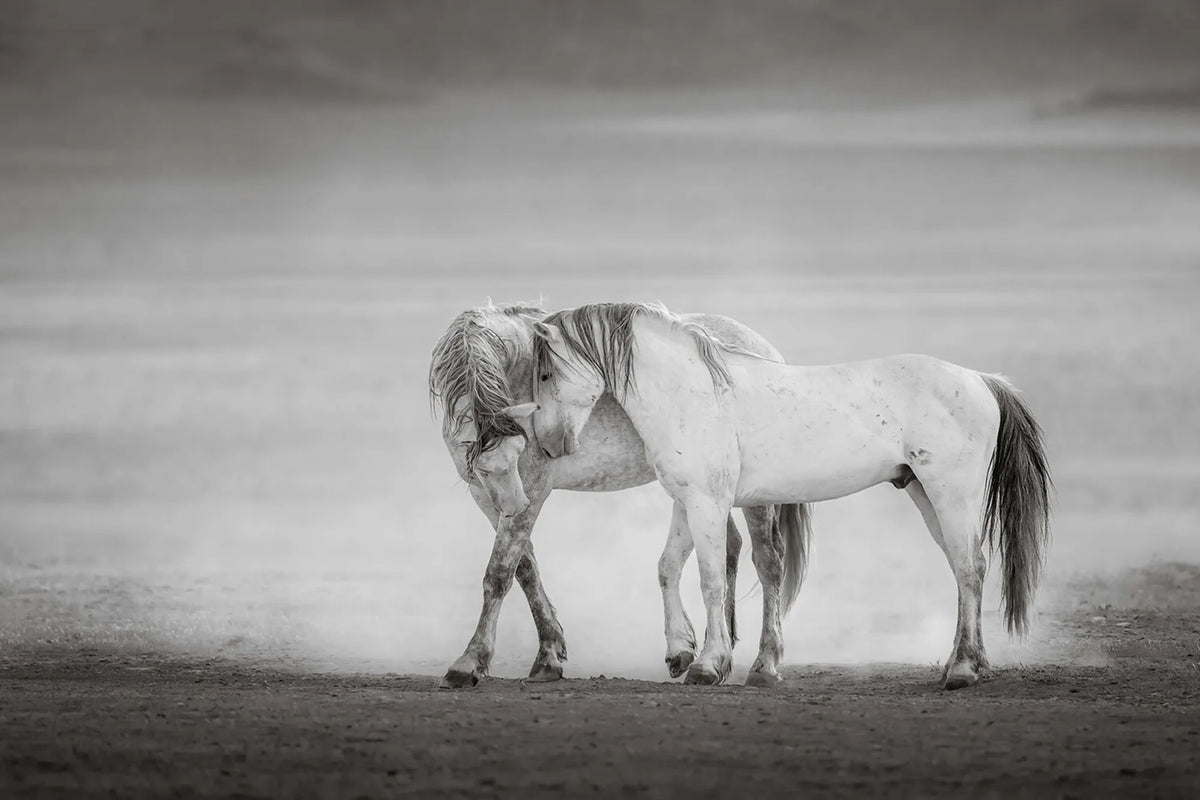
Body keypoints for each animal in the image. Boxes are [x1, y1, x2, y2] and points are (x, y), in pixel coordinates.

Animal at [428, 303, 812, 688]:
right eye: (482, 469)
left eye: (521, 450)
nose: (553, 446)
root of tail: (767, 351)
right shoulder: (486, 496)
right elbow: (525, 569)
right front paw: (548, 655)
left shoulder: (532, 492)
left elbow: (499, 573)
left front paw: (469, 661)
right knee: (730, 547)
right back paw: (710, 649)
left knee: (769, 561)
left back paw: (764, 664)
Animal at [527, 302, 1051, 689]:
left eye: (546, 374)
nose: (549, 444)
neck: (695, 392)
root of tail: (981, 379)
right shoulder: (688, 501)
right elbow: (668, 567)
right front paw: (682, 653)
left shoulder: (707, 504)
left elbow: (711, 580)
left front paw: (708, 665)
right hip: (924, 493)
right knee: (965, 568)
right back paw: (969, 664)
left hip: (950, 494)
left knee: (970, 567)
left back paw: (961, 671)